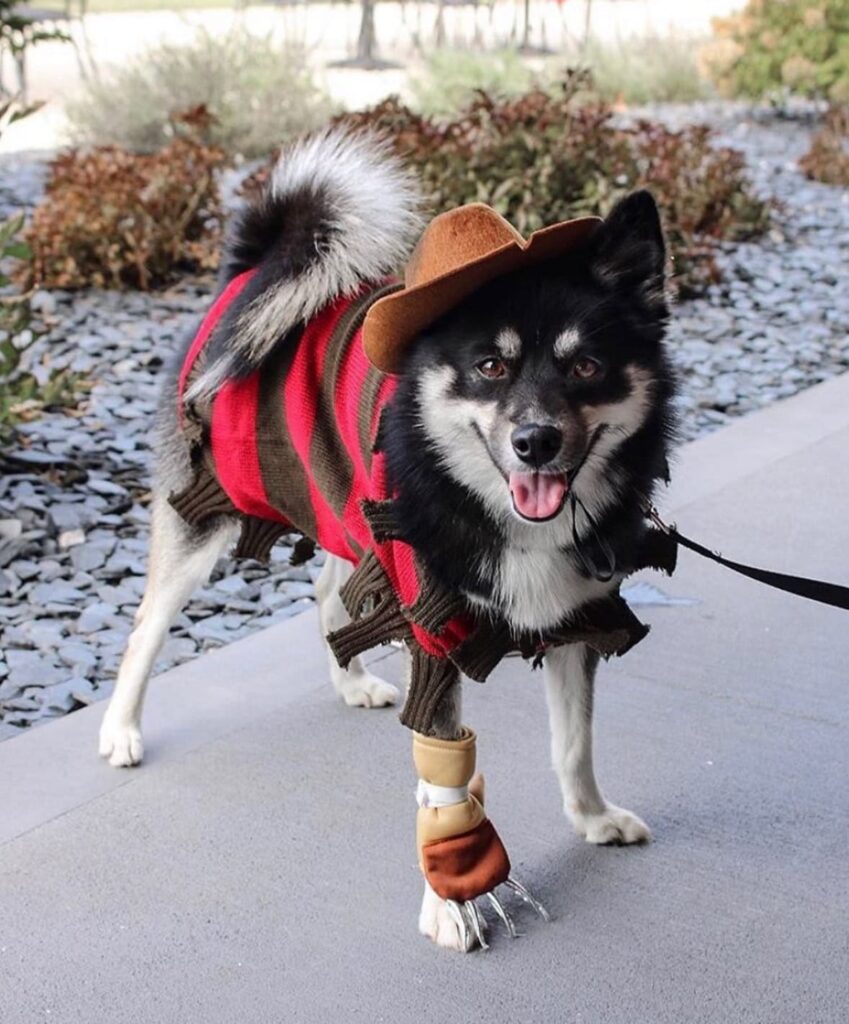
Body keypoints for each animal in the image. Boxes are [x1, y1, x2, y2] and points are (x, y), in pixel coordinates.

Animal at [99, 128, 680, 950]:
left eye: (587, 365)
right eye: (490, 366)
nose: (535, 442)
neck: (486, 505)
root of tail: (251, 273)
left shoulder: (577, 616)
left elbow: (575, 743)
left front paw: (591, 818)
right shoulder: (433, 633)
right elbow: (443, 784)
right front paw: (451, 902)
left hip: (347, 513)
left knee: (326, 591)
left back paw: (349, 680)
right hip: (206, 513)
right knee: (148, 623)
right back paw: (121, 729)